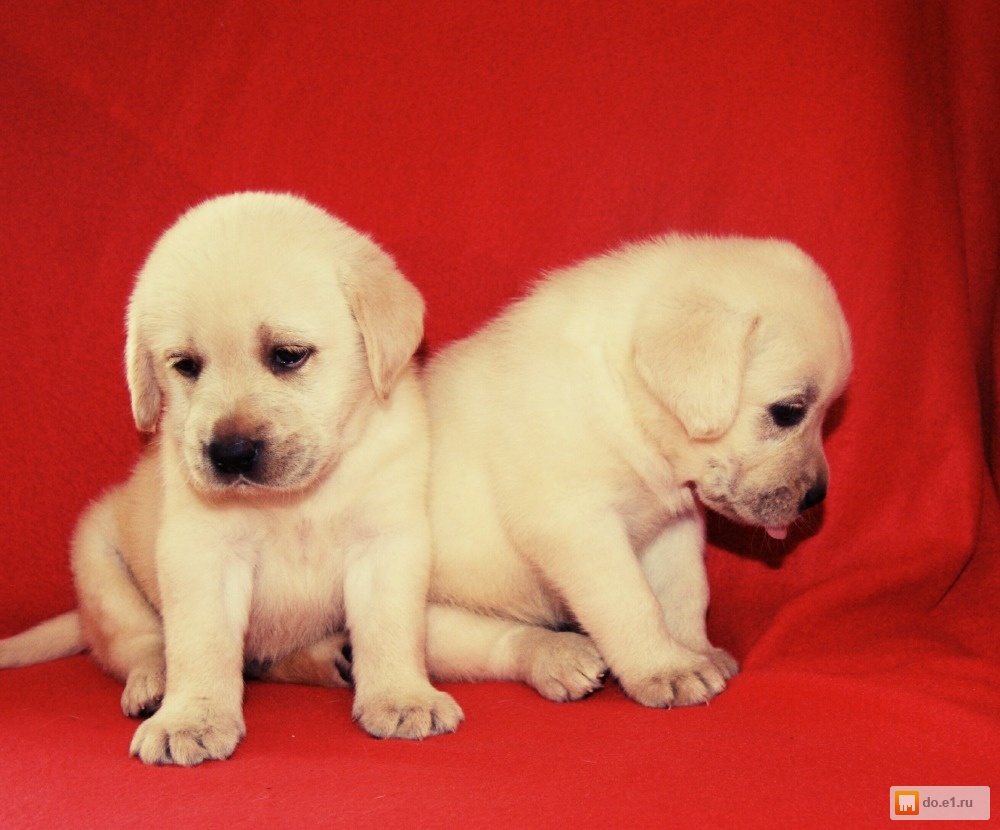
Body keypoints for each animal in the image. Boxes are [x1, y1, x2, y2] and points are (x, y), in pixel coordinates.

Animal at [0, 192, 460, 764]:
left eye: (288, 355)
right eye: (184, 365)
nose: (230, 453)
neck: (296, 500)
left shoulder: (385, 543)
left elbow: (391, 629)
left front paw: (401, 696)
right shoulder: (202, 554)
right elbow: (201, 644)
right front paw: (192, 719)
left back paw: (329, 659)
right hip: (97, 565)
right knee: (141, 644)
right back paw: (154, 686)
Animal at [422, 237, 852, 712]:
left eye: (827, 413)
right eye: (788, 411)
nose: (817, 496)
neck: (626, 403)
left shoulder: (673, 524)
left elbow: (685, 593)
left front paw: (695, 651)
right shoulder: (579, 527)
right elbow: (631, 602)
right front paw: (667, 669)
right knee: (496, 642)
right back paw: (560, 657)